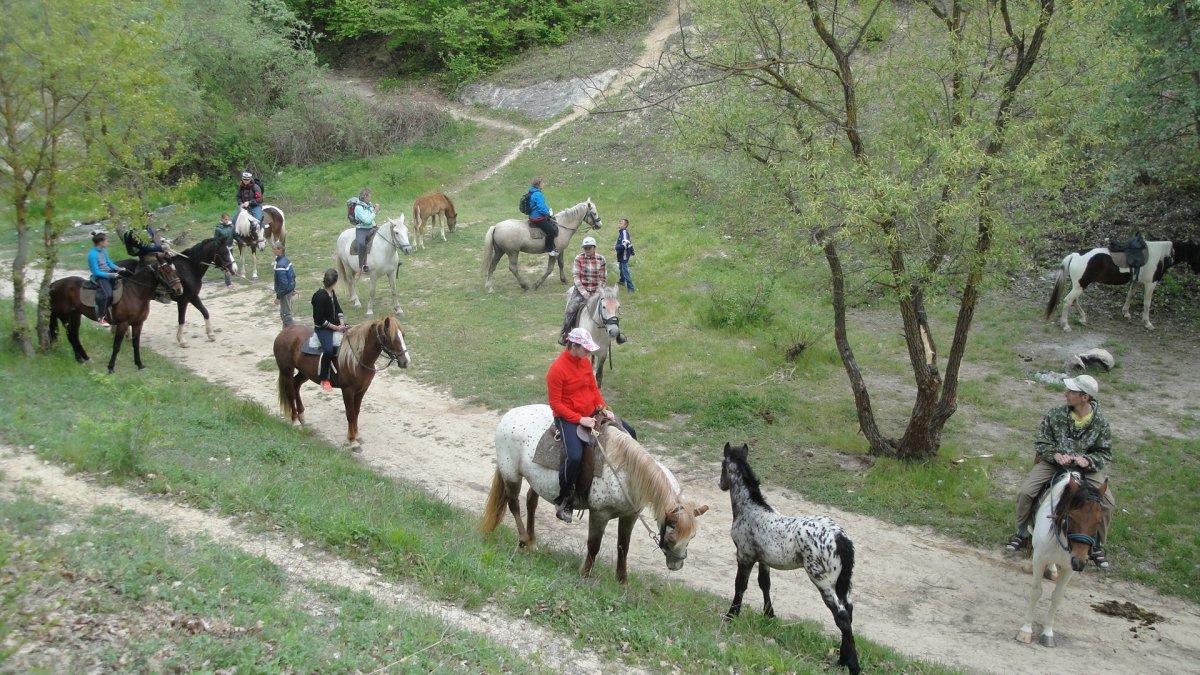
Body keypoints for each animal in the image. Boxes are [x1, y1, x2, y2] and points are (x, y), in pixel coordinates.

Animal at [49, 249, 182, 369]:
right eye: (167, 270)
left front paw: (139, 364)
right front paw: (111, 367)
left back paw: (84, 358)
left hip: (75, 315)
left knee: (74, 335)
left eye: (175, 270)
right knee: (71, 336)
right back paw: (80, 359)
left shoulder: (138, 323)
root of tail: (54, 285)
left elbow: (136, 344)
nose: (179, 290)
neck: (135, 293)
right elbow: (117, 345)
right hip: (64, 316)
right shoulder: (123, 323)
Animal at [271, 314, 410, 451]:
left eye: (403, 335)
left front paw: (356, 435)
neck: (357, 359)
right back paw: (295, 421)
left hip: (305, 373)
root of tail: (284, 332)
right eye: (390, 337)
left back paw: (302, 416)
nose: (405, 361)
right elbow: (350, 414)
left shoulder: (362, 389)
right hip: (287, 370)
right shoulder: (348, 390)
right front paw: (352, 441)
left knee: (296, 385)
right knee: (290, 392)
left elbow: (356, 412)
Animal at [480, 401, 705, 581]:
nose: (677, 565)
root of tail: (510, 415)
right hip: (511, 474)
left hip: (537, 481)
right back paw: (524, 541)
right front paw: (585, 574)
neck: (625, 471)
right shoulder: (599, 513)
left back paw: (532, 541)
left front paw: (622, 581)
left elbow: (623, 547)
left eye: (692, 537)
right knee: (514, 505)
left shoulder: (630, 516)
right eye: (672, 536)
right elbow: (594, 544)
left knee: (530, 502)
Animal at [715, 441, 859, 672]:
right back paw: (842, 659)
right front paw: (769, 615)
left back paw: (852, 665)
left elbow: (740, 586)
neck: (751, 510)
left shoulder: (744, 555)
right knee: (849, 611)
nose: (720, 484)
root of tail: (840, 538)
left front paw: (731, 616)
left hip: (822, 578)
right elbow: (764, 584)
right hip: (842, 582)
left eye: (722, 466)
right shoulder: (763, 559)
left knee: (842, 616)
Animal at [1012, 468, 1104, 648]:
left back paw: (1053, 570)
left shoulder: (1069, 568)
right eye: (1072, 517)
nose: (1080, 562)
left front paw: (1048, 633)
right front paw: (1026, 630)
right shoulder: (1040, 559)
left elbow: (1057, 597)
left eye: (1098, 521)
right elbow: (1036, 592)